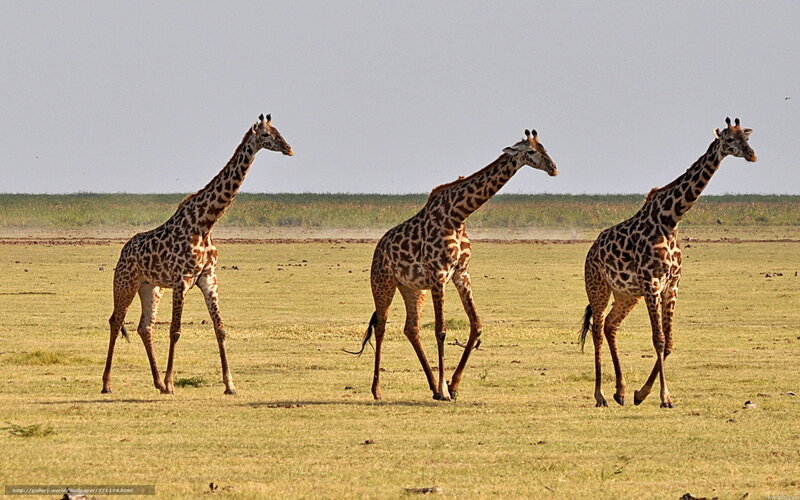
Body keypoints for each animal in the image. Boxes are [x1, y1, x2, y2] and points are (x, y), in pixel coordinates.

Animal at [101, 114, 293, 395]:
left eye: (280, 131)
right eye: (267, 135)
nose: (289, 149)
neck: (206, 222)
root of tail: (124, 251)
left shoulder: (208, 278)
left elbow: (220, 328)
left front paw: (230, 384)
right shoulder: (182, 280)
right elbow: (175, 330)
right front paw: (172, 382)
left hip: (151, 287)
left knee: (145, 327)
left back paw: (157, 382)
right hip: (125, 282)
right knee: (116, 321)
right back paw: (108, 383)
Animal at [347, 129, 558, 400]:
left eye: (545, 148)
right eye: (531, 151)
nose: (553, 169)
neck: (458, 215)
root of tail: (379, 247)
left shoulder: (461, 273)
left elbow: (476, 325)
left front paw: (453, 385)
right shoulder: (439, 274)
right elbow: (441, 330)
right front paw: (445, 389)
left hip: (413, 288)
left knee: (411, 328)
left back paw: (431, 386)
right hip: (383, 282)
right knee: (382, 327)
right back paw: (378, 390)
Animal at [579, 117, 757, 408]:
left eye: (747, 138)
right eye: (729, 139)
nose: (752, 155)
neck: (671, 219)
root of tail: (591, 250)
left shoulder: (671, 285)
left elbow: (670, 342)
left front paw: (641, 393)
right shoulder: (652, 283)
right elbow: (659, 340)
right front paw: (664, 397)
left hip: (627, 294)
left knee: (610, 326)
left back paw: (620, 391)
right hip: (598, 287)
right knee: (597, 330)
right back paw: (600, 395)